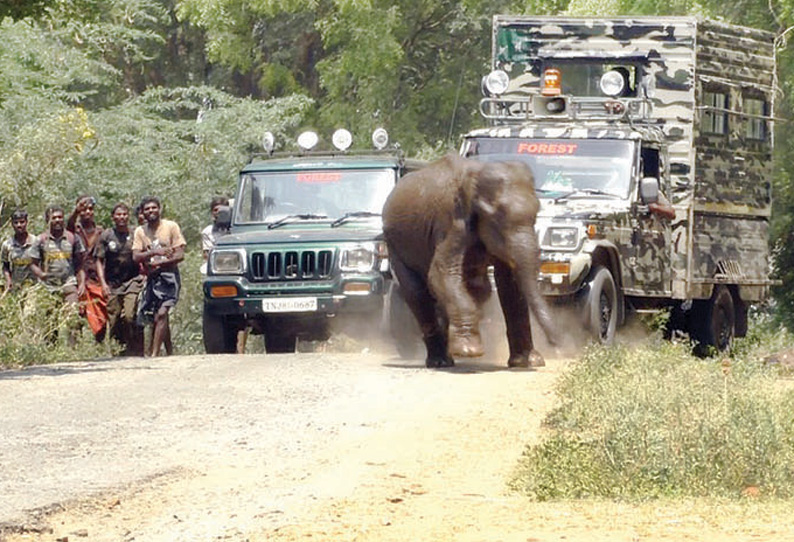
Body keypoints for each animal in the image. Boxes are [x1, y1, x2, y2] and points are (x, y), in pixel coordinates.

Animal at [382, 152, 556, 370]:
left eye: (535, 215)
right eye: (496, 218)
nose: (556, 343)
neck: (477, 174)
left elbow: (510, 284)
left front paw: (527, 362)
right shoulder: (452, 223)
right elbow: (440, 273)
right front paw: (469, 352)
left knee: (479, 290)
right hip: (394, 244)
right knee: (416, 292)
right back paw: (440, 361)